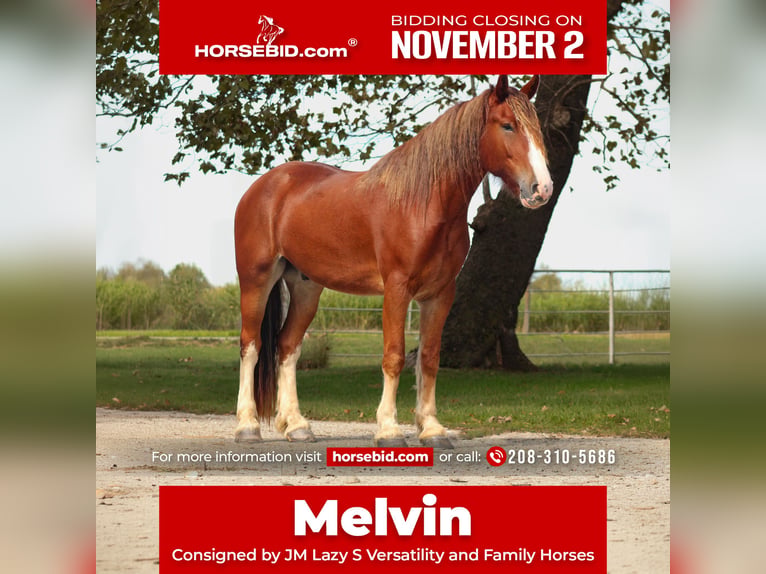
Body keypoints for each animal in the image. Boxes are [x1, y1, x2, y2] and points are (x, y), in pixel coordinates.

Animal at [233, 75, 552, 448]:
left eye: (536, 127)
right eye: (507, 125)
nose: (542, 188)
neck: (423, 203)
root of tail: (264, 186)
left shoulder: (440, 293)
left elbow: (429, 357)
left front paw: (432, 429)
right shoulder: (397, 289)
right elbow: (395, 356)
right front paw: (389, 430)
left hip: (305, 286)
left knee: (287, 346)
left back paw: (297, 426)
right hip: (257, 279)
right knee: (251, 345)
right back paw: (247, 426)